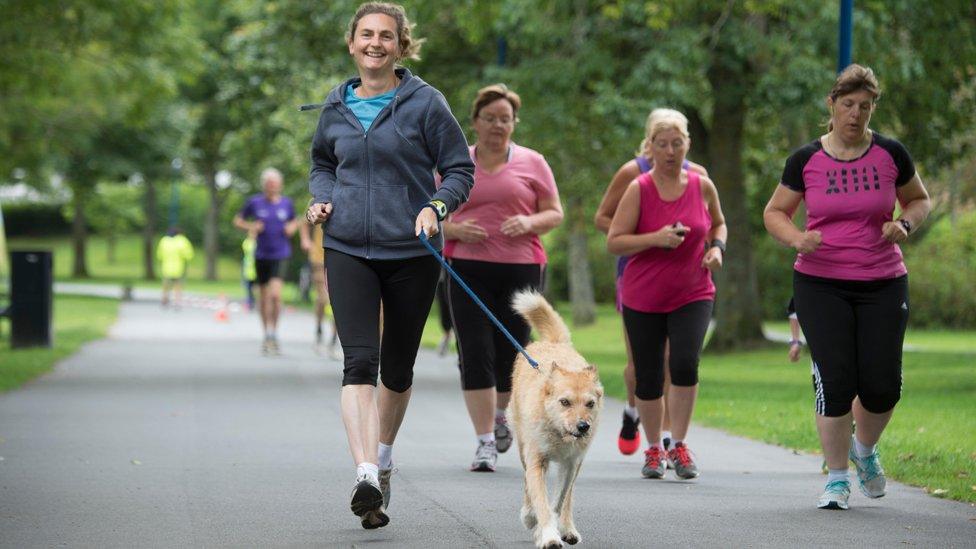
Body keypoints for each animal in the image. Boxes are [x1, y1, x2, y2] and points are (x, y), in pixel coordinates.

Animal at [510, 288, 604, 544]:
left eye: (590, 404)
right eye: (565, 402)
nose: (583, 426)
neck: (559, 433)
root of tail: (554, 343)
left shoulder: (571, 464)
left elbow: (559, 500)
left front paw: (550, 528)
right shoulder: (536, 460)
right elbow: (540, 501)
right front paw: (547, 535)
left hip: (576, 463)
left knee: (568, 498)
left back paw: (568, 528)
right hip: (522, 447)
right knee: (526, 485)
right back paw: (530, 516)